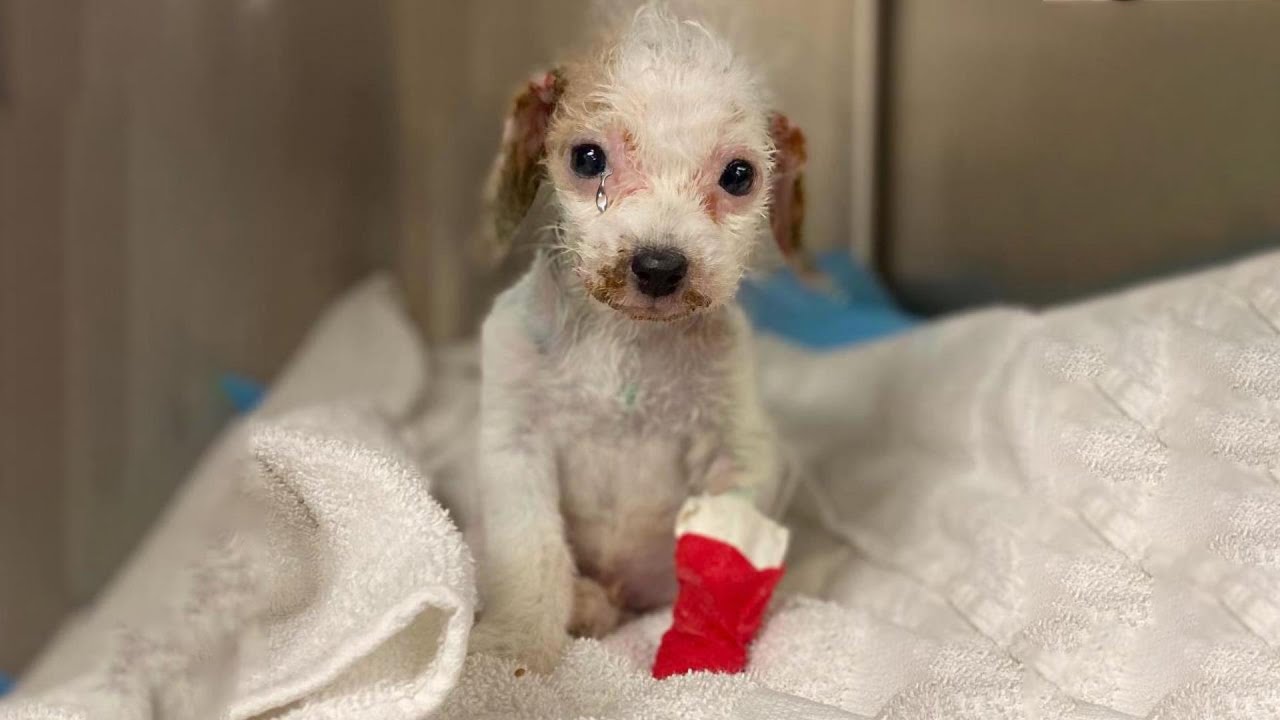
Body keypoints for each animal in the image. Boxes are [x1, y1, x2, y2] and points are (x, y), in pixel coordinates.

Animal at [471, 2, 808, 671]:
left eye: (739, 175)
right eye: (587, 159)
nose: (658, 266)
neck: (625, 349)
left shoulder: (738, 455)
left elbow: (723, 557)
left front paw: (701, 649)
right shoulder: (515, 446)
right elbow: (531, 556)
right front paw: (516, 650)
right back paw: (585, 604)